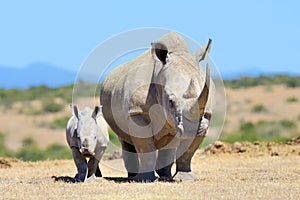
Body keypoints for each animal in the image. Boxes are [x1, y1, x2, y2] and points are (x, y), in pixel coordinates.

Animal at [102, 32, 214, 182]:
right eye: (170, 101)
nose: (191, 130)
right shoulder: (137, 112)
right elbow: (145, 147)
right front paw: (145, 179)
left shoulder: (205, 114)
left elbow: (188, 151)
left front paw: (185, 178)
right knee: (125, 138)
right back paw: (133, 176)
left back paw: (165, 176)